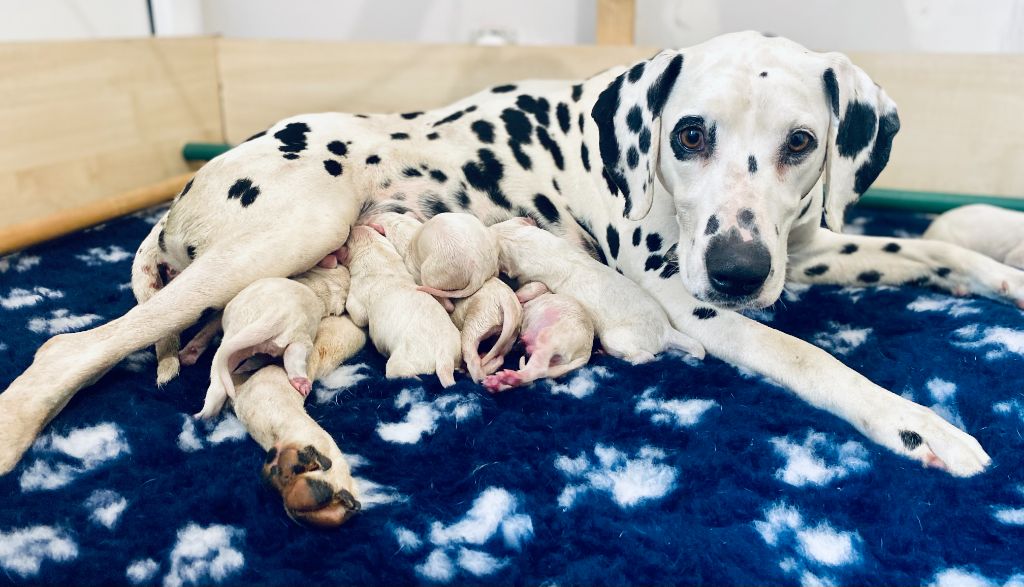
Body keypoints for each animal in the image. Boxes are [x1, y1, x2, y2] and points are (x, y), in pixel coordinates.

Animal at [193, 266, 350, 422]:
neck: (317, 287)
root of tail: (277, 312)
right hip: (300, 335)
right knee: (295, 352)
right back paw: (301, 381)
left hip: (233, 338)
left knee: (218, 378)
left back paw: (205, 413)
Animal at [344, 224, 460, 385]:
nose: (354, 226)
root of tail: (445, 357)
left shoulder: (357, 300)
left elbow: (357, 315)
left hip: (401, 361)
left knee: (403, 373)